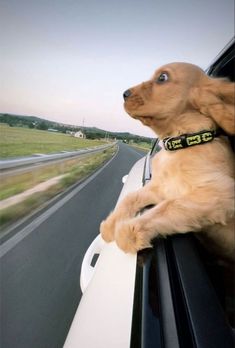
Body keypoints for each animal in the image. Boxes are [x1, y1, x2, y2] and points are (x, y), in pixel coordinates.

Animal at [99, 61, 235, 258]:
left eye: (162, 77)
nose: (124, 94)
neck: (181, 144)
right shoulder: (159, 187)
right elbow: (130, 197)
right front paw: (110, 225)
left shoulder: (220, 193)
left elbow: (169, 206)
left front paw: (127, 234)